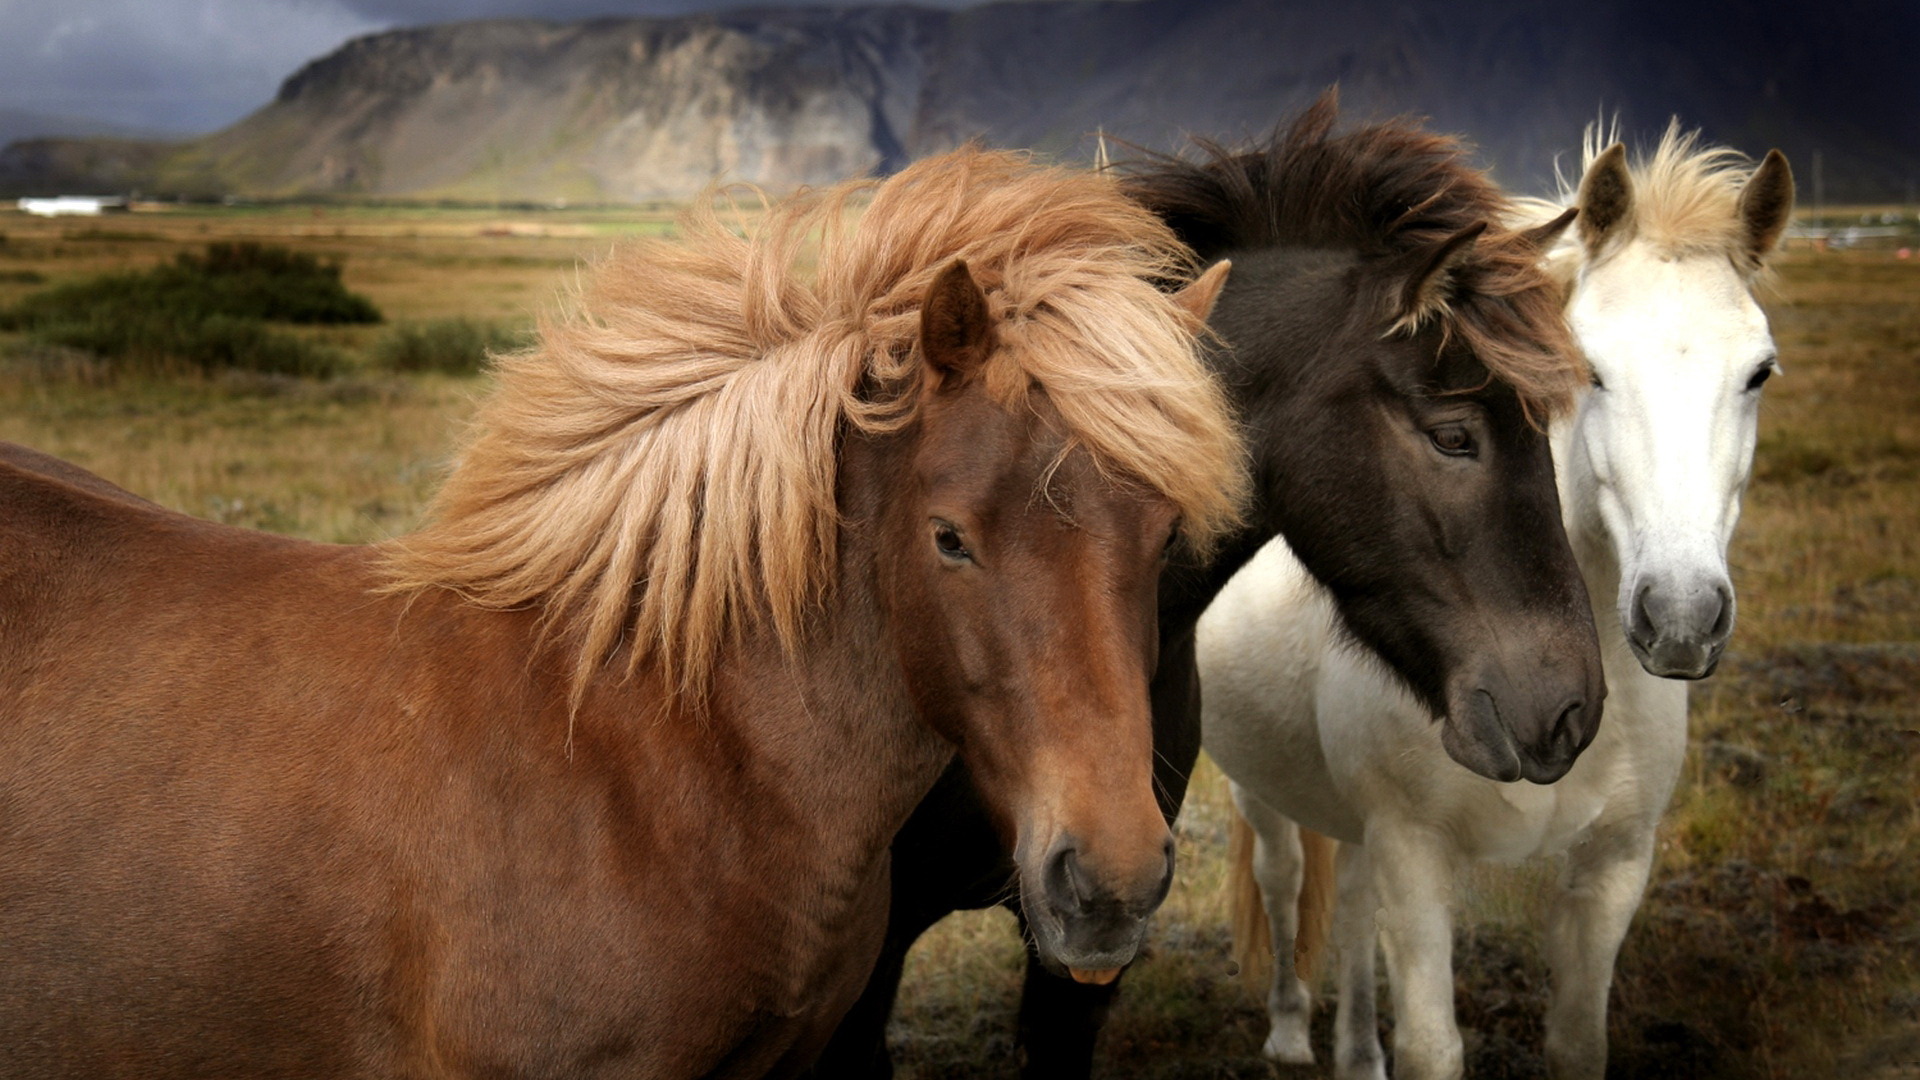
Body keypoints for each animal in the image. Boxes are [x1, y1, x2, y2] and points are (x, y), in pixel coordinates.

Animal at [1198, 127, 1797, 1076]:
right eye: (1590, 370)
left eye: (1760, 373)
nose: (1681, 616)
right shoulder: (1416, 857)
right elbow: (1432, 1048)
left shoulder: (1614, 868)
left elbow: (1577, 1041)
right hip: (1258, 786)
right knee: (1285, 878)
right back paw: (1290, 1032)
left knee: (1351, 903)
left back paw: (1354, 1051)